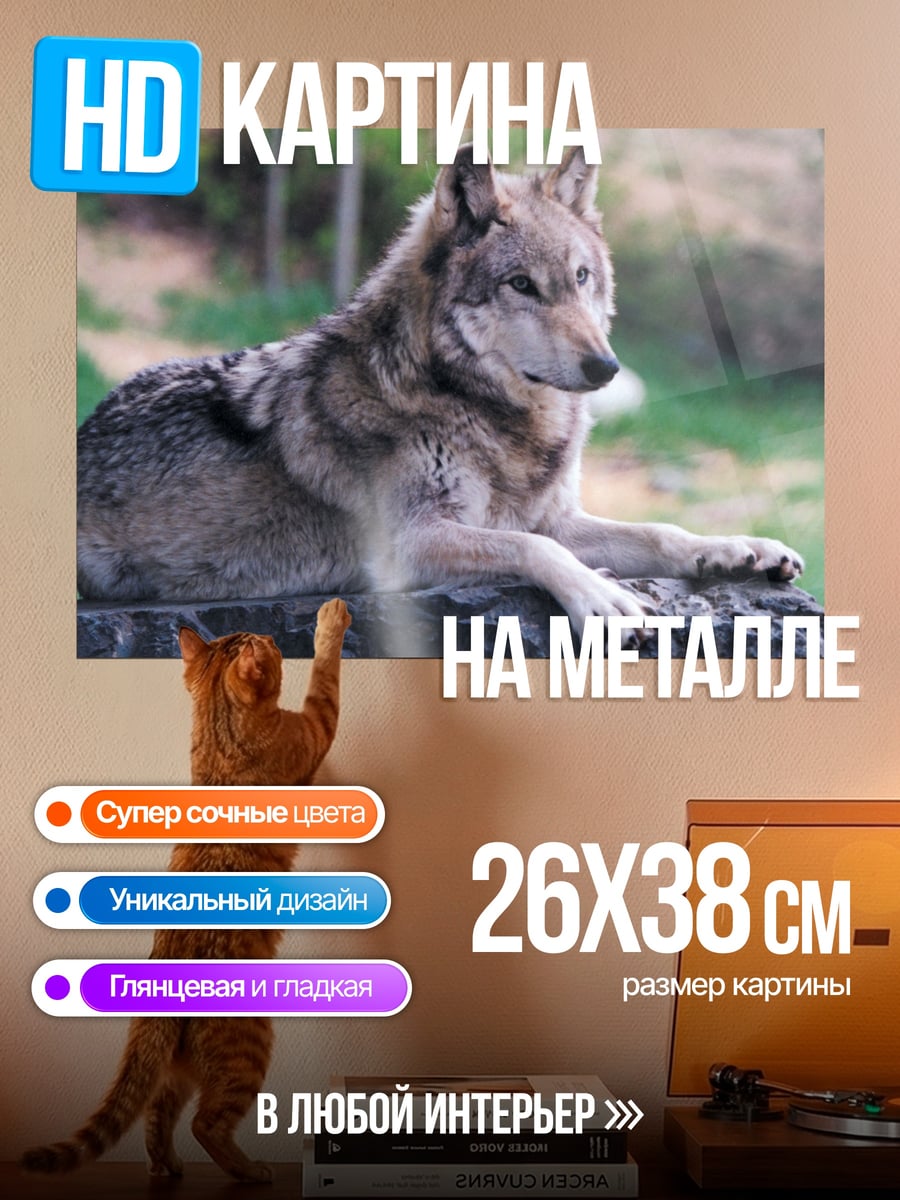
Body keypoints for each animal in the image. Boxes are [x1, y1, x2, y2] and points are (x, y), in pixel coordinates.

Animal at [77, 145, 803, 632]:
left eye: (581, 278)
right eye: (521, 285)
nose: (606, 367)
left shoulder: (555, 516)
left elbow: (659, 531)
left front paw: (739, 550)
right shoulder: (412, 546)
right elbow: (532, 548)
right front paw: (599, 594)